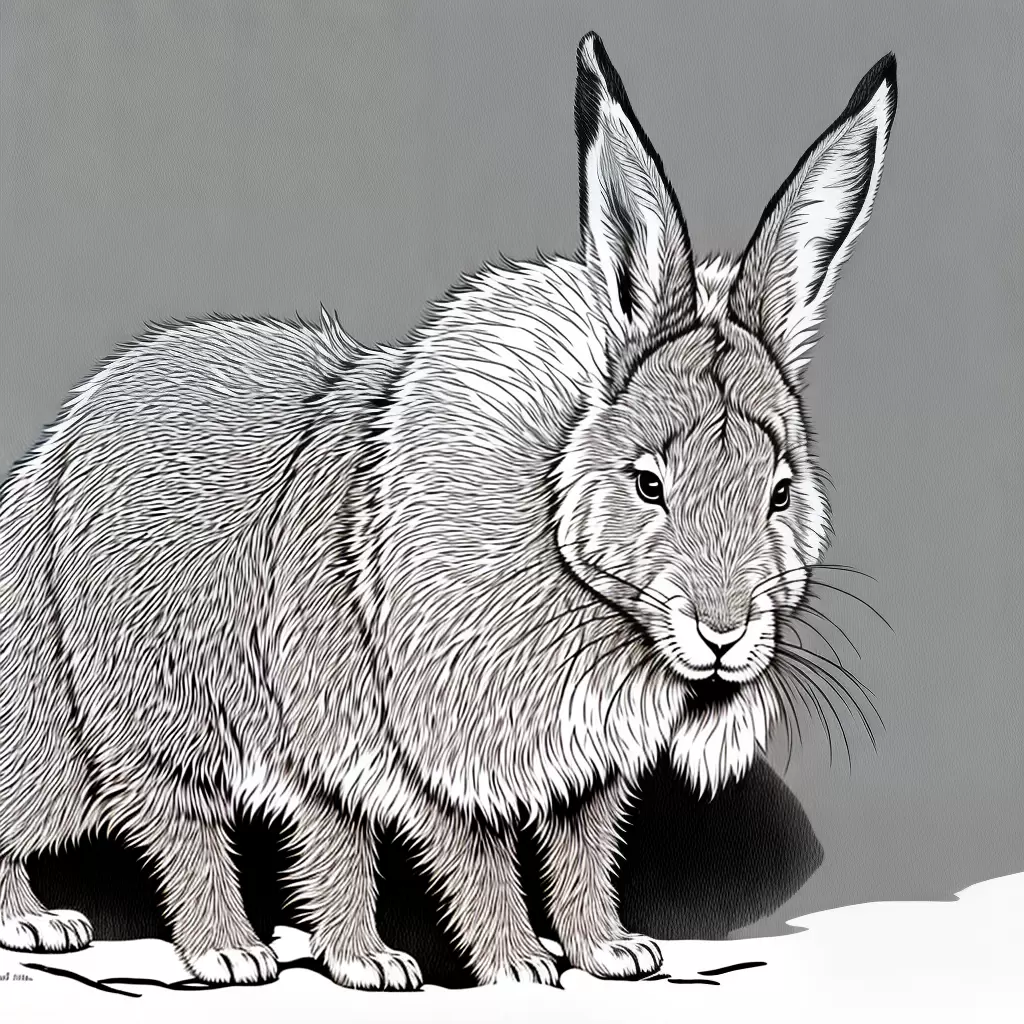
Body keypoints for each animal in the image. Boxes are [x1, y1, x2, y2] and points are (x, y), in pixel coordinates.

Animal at [0, 32, 896, 989]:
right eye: (647, 483)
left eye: (781, 491)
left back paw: (355, 960)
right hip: (136, 716)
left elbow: (581, 857)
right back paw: (188, 948)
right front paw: (517, 967)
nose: (724, 633)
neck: (565, 542)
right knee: (168, 825)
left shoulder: (574, 775)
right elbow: (478, 861)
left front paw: (612, 953)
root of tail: (53, 458)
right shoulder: (445, 759)